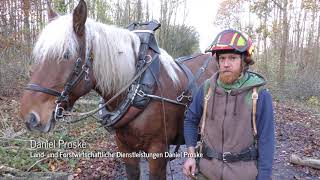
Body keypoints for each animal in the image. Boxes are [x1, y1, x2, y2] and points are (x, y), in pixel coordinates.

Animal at [19, 0, 218, 179]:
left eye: (66, 54)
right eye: (39, 55)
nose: (30, 117)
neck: (137, 88)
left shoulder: (158, 152)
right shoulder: (125, 148)